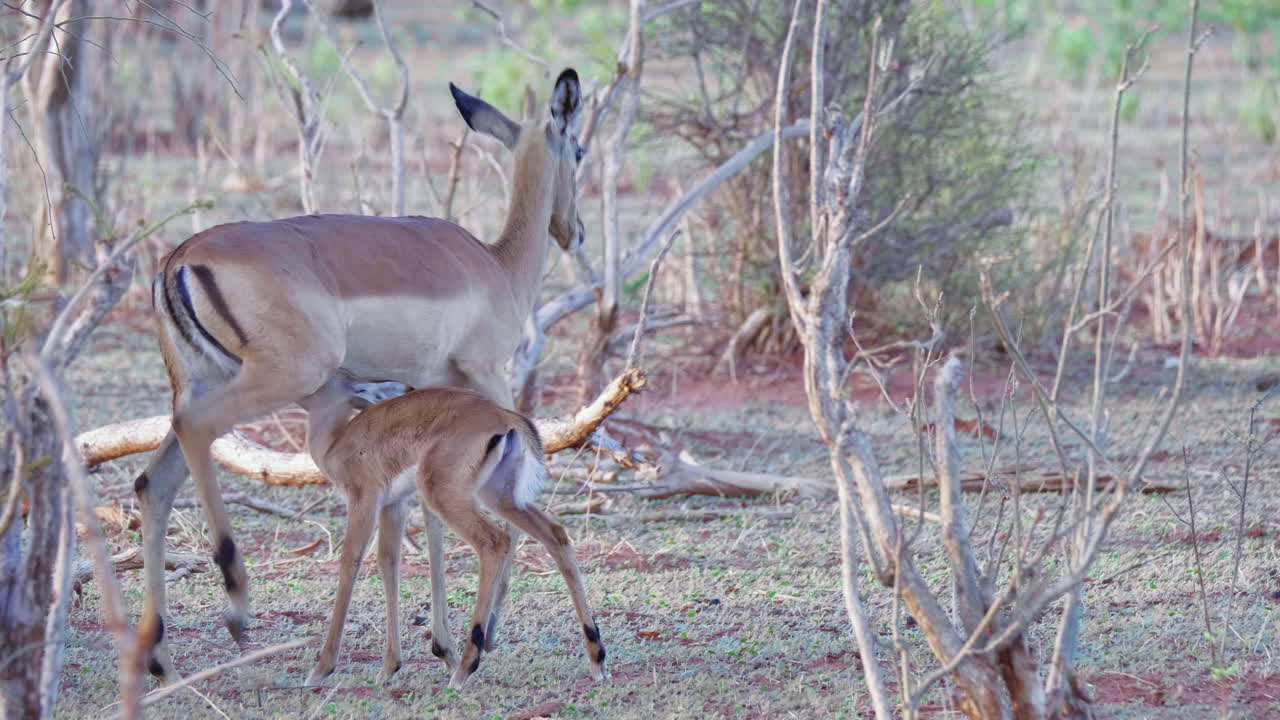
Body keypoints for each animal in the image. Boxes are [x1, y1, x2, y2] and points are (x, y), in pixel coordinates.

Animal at [300, 375, 607, 688]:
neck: (336, 442)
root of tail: (503, 417)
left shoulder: (365, 501)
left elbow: (350, 561)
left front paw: (321, 669)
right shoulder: (394, 505)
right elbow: (388, 563)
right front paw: (389, 667)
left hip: (446, 498)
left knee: (494, 542)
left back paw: (464, 670)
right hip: (501, 498)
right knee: (555, 535)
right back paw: (596, 658)